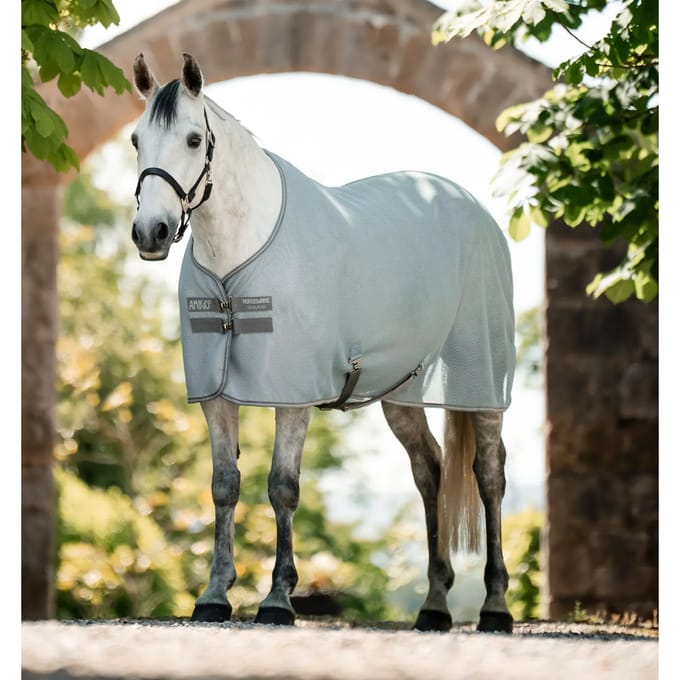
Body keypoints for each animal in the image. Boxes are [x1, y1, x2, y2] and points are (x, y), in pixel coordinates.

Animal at [130, 53, 516, 634]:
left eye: (195, 139)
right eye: (136, 140)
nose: (150, 231)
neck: (240, 255)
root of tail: (471, 207)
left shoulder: (293, 395)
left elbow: (282, 486)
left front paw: (277, 600)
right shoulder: (216, 395)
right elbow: (224, 485)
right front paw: (214, 596)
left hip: (483, 385)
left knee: (488, 475)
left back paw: (495, 605)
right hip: (402, 393)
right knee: (429, 470)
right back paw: (433, 605)